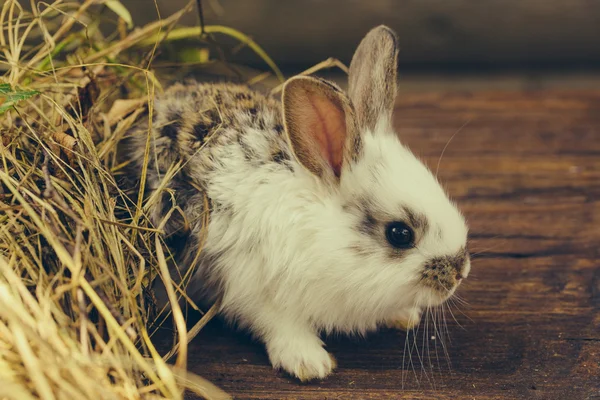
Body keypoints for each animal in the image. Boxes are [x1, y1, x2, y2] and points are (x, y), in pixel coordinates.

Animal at [123, 25, 468, 382]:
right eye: (400, 234)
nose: (460, 271)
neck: (322, 234)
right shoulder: (257, 292)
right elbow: (281, 327)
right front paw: (310, 364)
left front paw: (405, 315)